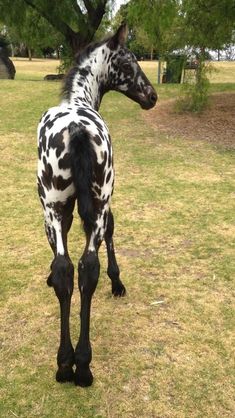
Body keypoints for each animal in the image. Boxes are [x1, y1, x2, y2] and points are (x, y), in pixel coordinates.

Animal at [37, 24, 157, 386]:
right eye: (129, 61)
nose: (152, 96)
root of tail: (77, 128)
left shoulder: (64, 211)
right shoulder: (97, 205)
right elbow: (111, 234)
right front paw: (117, 282)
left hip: (56, 205)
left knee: (70, 269)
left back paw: (67, 364)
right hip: (96, 201)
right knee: (86, 267)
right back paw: (81, 365)